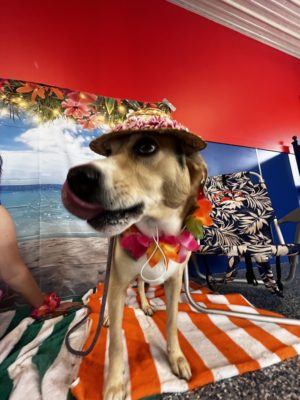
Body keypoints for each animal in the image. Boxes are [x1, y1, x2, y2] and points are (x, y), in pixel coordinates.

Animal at [61, 108, 206, 398]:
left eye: (146, 146)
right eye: (109, 153)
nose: (76, 176)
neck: (156, 234)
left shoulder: (174, 282)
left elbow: (172, 323)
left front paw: (176, 358)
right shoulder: (117, 283)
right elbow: (117, 341)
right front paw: (115, 384)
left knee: (140, 283)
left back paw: (146, 303)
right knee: (106, 295)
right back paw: (106, 317)